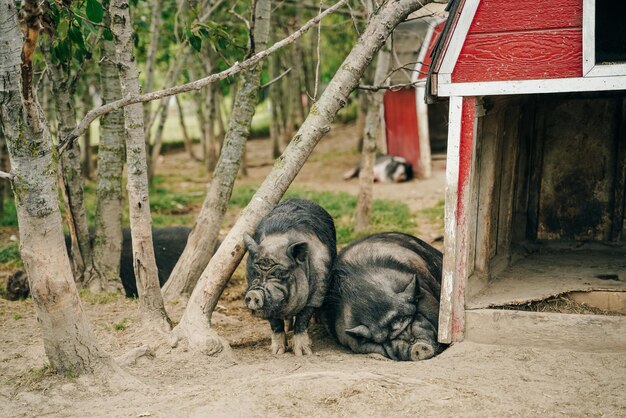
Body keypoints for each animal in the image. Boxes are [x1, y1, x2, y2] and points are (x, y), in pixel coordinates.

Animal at [241, 199, 334, 356]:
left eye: (280, 274)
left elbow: (303, 319)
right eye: (255, 273)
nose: (254, 293)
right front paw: (277, 352)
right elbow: (275, 323)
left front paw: (302, 353)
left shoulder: (316, 294)